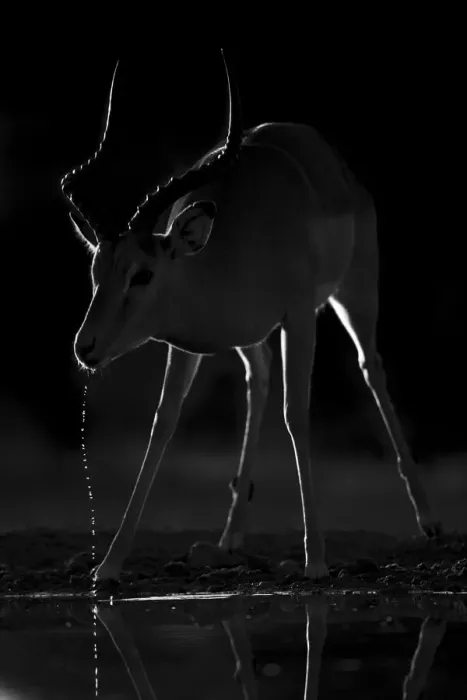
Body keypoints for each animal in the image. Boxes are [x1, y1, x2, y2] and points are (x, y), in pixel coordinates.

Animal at [62, 52, 440, 582]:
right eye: (97, 270)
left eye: (143, 273)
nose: (86, 347)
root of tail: (336, 164)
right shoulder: (185, 345)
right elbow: (163, 424)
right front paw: (110, 565)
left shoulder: (299, 315)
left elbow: (296, 414)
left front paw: (316, 561)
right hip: (250, 338)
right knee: (257, 383)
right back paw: (229, 538)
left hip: (356, 295)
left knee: (371, 369)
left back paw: (428, 521)